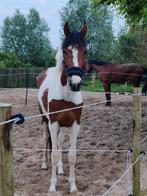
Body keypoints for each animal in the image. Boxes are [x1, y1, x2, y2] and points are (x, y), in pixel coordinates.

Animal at [36, 22, 87, 192]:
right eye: (65, 51)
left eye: (85, 51)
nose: (76, 84)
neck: (66, 95)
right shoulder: (53, 123)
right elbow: (54, 154)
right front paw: (52, 186)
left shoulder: (74, 124)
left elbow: (71, 155)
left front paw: (73, 185)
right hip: (44, 120)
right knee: (46, 140)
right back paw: (44, 164)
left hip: (64, 126)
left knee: (58, 142)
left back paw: (60, 169)